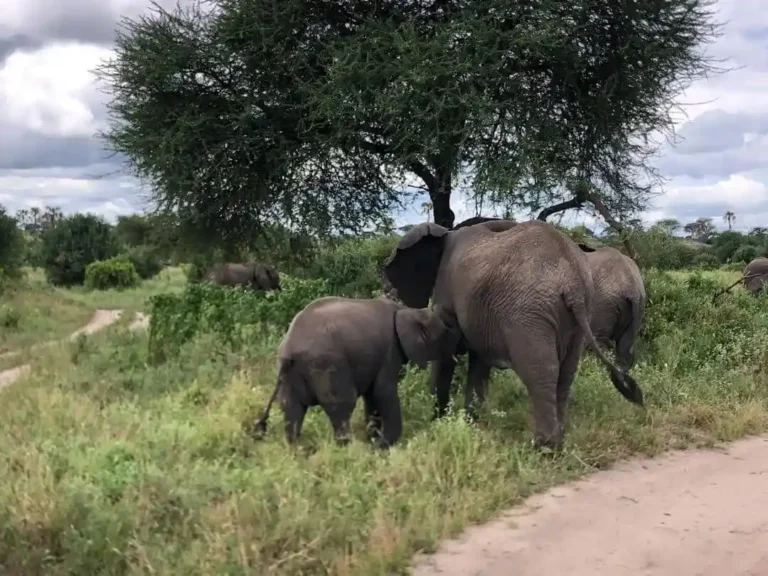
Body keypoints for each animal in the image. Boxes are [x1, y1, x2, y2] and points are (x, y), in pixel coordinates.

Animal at [251, 296, 456, 448]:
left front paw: (374, 439)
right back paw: (346, 448)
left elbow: (372, 395)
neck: (407, 310)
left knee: (292, 409)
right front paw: (381, 446)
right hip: (326, 366)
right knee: (342, 404)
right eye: (443, 335)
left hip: (289, 374)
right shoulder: (390, 350)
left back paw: (296, 451)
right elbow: (383, 391)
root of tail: (289, 350)